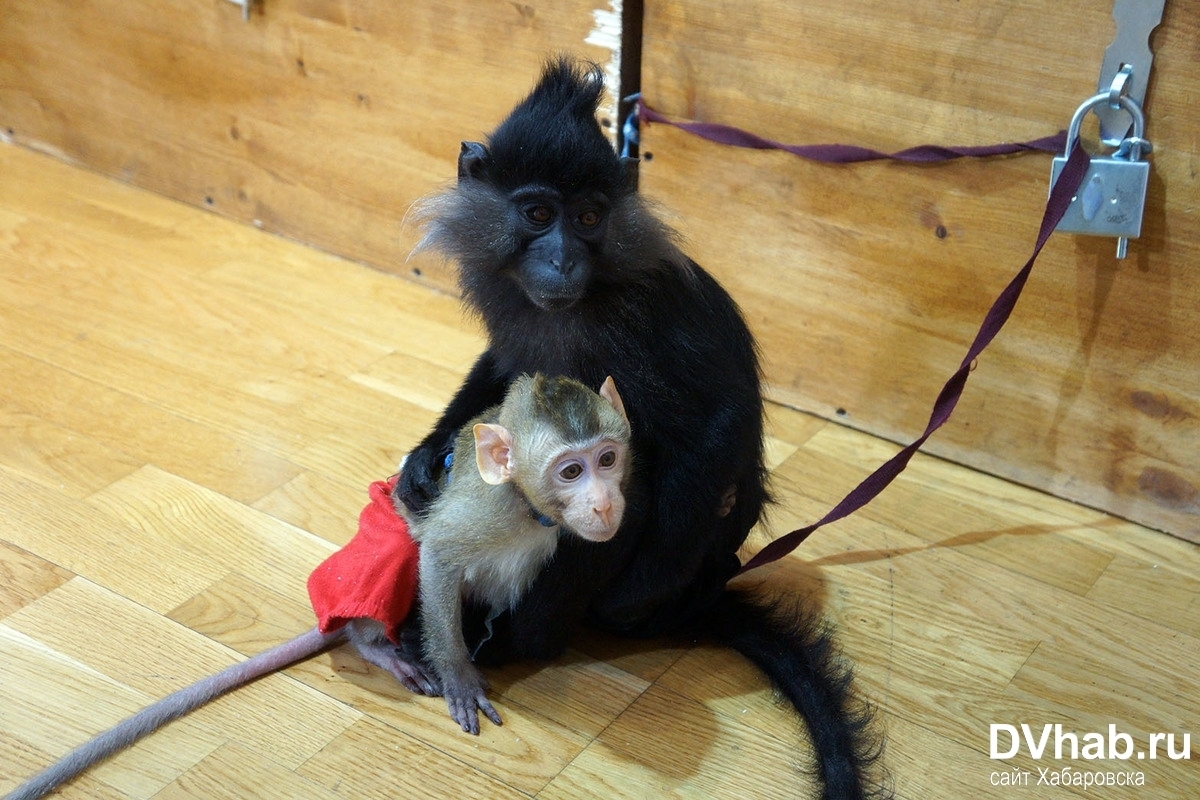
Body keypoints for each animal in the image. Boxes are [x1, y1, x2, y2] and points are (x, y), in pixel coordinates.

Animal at [7, 374, 628, 800]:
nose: (604, 503)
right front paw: (458, 674)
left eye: (607, 459)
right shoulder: (484, 515)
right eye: (571, 471)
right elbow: (436, 555)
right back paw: (379, 647)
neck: (526, 505)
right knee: (397, 559)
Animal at [398, 57, 888, 800]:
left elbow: (717, 424)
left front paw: (628, 592)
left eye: (589, 217)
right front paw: (424, 463)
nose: (564, 259)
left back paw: (515, 641)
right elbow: (503, 376)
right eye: (538, 214)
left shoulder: (647, 311)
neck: (575, 303)